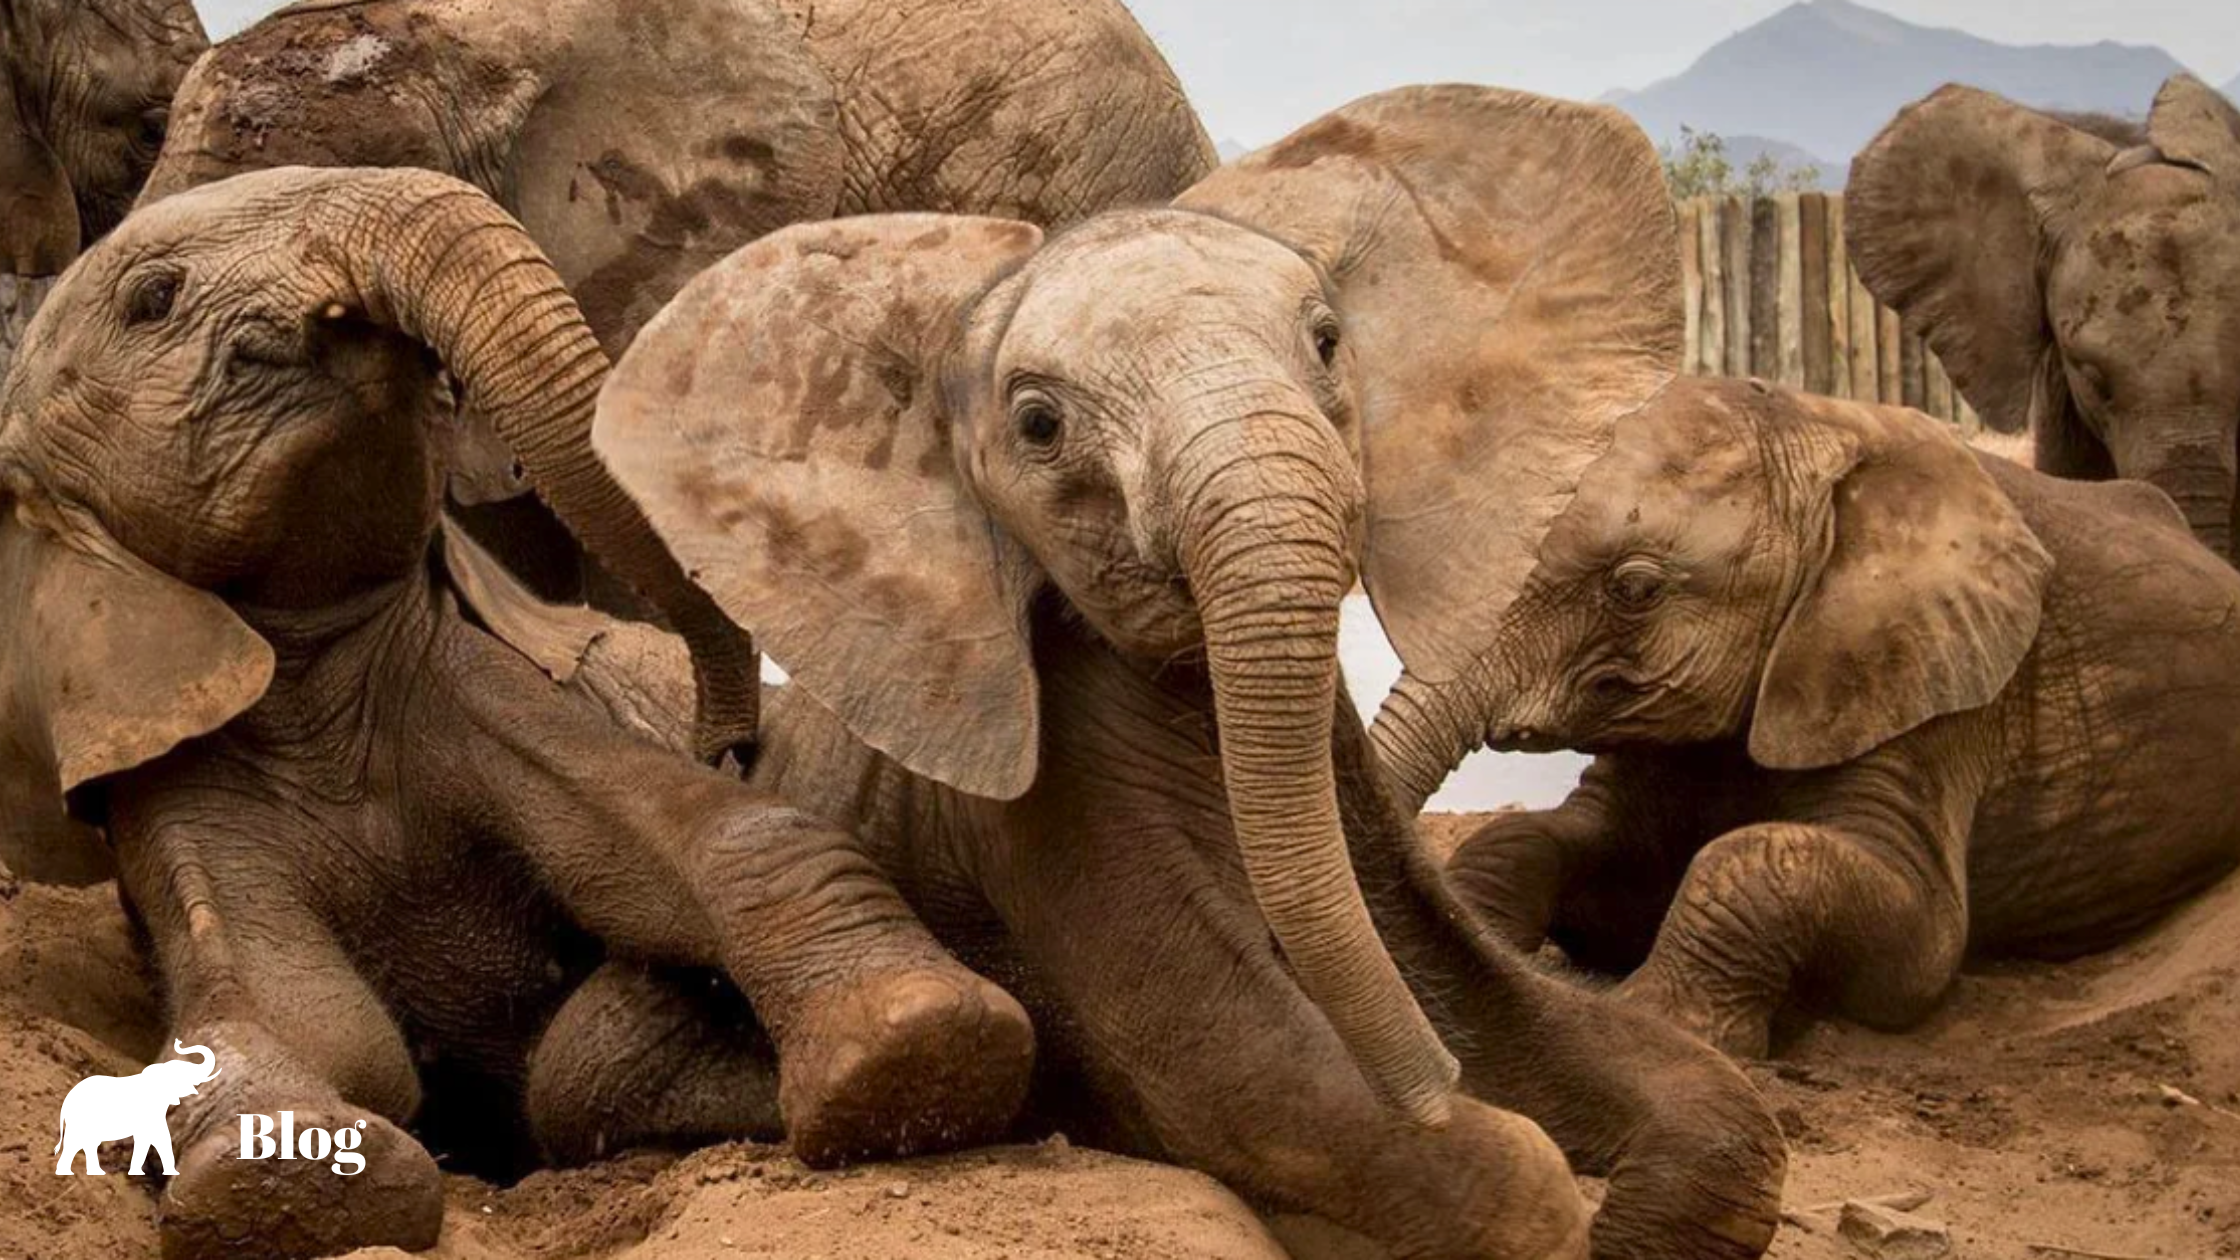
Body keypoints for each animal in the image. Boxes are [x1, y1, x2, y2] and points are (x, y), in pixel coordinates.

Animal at [561, 85, 1789, 1260]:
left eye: (1329, 342)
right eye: (1038, 425)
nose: (1436, 1088)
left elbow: (1647, 1076)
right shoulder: (1045, 820)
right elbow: (1237, 1079)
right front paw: (1508, 1158)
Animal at [1371, 376, 2240, 1061]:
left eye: (1635, 589)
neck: (1820, 430)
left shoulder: (1932, 694)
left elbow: (1903, 936)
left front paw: (1668, 1030)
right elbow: (1542, 843)